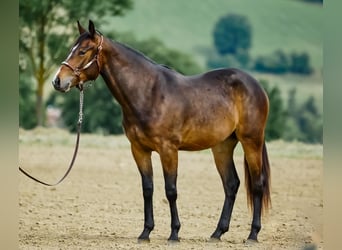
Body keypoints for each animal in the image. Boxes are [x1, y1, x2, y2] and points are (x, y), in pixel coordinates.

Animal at [52, 20, 272, 243]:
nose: (57, 81)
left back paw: (253, 234)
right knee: (231, 184)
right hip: (222, 147)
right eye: (71, 49)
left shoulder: (168, 150)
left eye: (82, 51)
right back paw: (217, 233)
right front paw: (145, 232)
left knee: (257, 184)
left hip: (251, 141)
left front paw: (174, 233)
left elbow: (171, 190)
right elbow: (148, 189)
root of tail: (255, 85)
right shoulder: (139, 150)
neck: (149, 93)